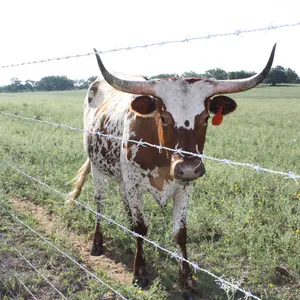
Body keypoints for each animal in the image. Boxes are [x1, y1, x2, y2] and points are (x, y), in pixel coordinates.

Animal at [68, 45, 276, 300]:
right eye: (164, 118)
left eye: (205, 118)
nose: (187, 168)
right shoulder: (134, 183)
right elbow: (141, 227)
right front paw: (140, 272)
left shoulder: (185, 187)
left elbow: (180, 232)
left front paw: (187, 279)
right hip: (97, 167)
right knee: (100, 201)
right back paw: (97, 243)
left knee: (124, 201)